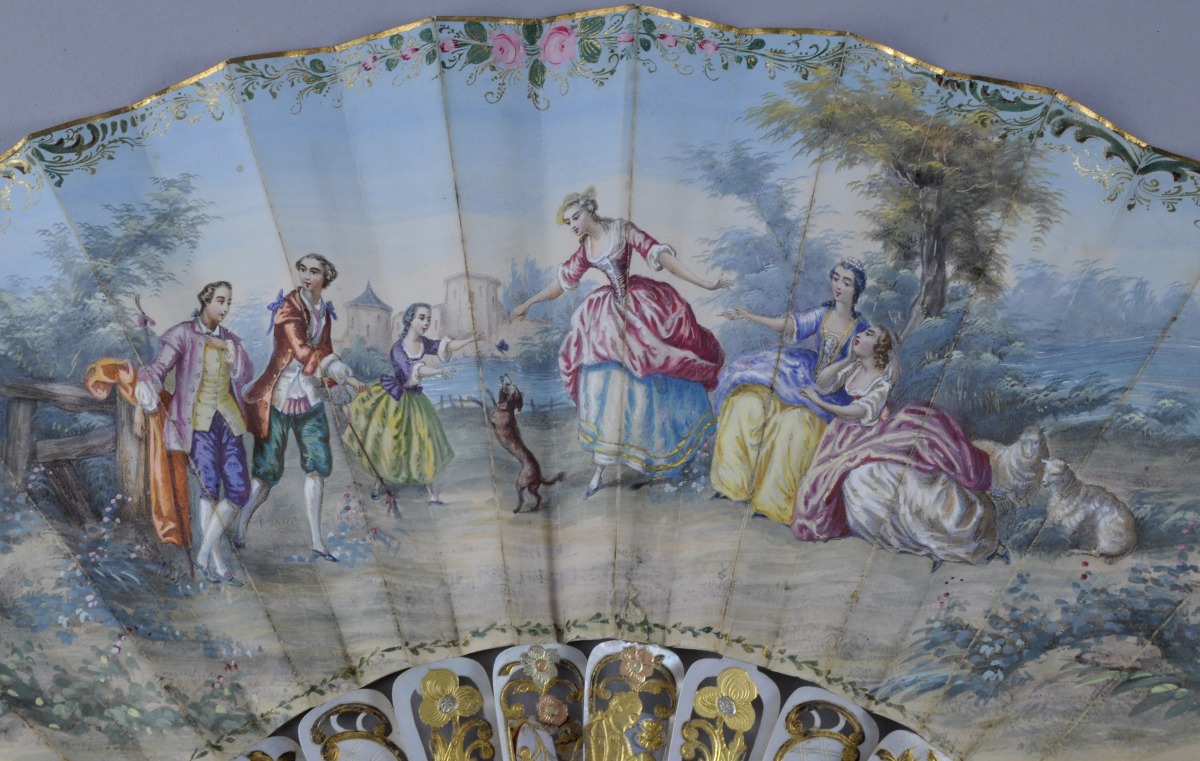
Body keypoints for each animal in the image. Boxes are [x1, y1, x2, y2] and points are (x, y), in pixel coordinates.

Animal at [487, 375, 564, 513]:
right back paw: (535, 508)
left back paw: (517, 510)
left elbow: (484, 405)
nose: (504, 374)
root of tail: (539, 474)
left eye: (509, 384)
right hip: (532, 487)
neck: (508, 407)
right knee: (539, 496)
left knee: (522, 499)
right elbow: (493, 402)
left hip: (520, 483)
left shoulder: (492, 420)